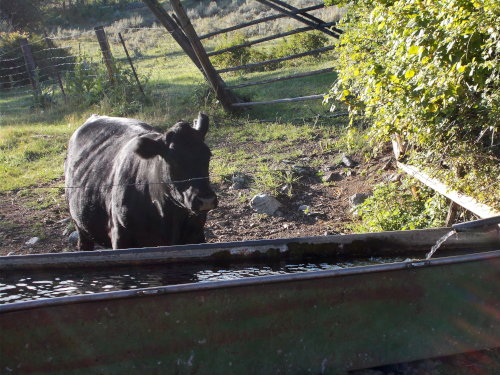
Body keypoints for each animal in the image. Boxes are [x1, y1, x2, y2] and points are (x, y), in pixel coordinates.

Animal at [64, 113, 217, 251]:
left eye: (208, 155)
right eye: (172, 159)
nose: (206, 199)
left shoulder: (196, 235)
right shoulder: (120, 236)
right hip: (80, 225)